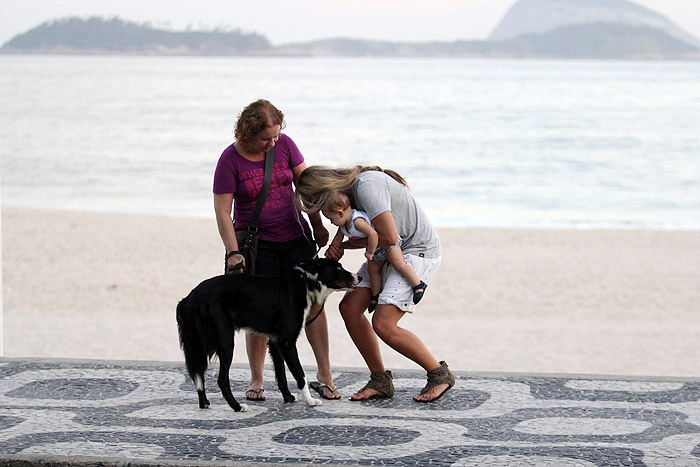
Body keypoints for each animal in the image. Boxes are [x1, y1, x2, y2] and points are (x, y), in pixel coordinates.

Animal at [178, 258, 358, 412]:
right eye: (338, 268)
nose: (360, 277)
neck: (305, 282)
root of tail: (190, 298)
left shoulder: (275, 341)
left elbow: (281, 373)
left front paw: (288, 398)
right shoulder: (287, 341)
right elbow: (300, 374)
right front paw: (311, 401)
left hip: (197, 344)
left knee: (198, 374)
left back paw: (205, 403)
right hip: (226, 342)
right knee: (221, 379)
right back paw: (237, 407)